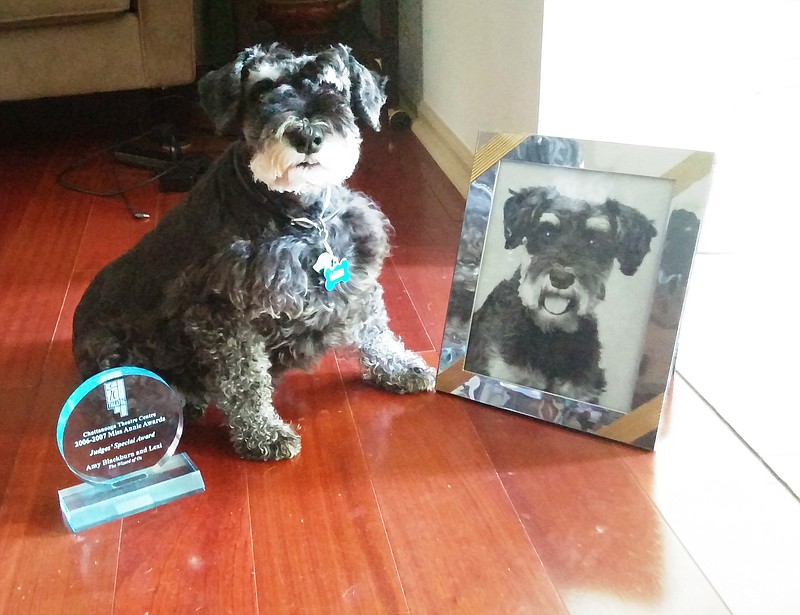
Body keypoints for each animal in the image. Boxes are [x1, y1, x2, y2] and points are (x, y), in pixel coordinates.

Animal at [74, 43, 434, 462]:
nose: (307, 136)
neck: (302, 214)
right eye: (262, 90)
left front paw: (398, 366)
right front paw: (262, 433)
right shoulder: (223, 314)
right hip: (117, 355)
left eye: (335, 88)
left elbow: (376, 326)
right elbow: (244, 379)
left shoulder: (357, 271)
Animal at [462, 186, 656, 404]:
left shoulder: (580, 392)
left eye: (594, 241)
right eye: (547, 233)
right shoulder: (501, 372)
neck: (551, 334)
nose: (560, 278)